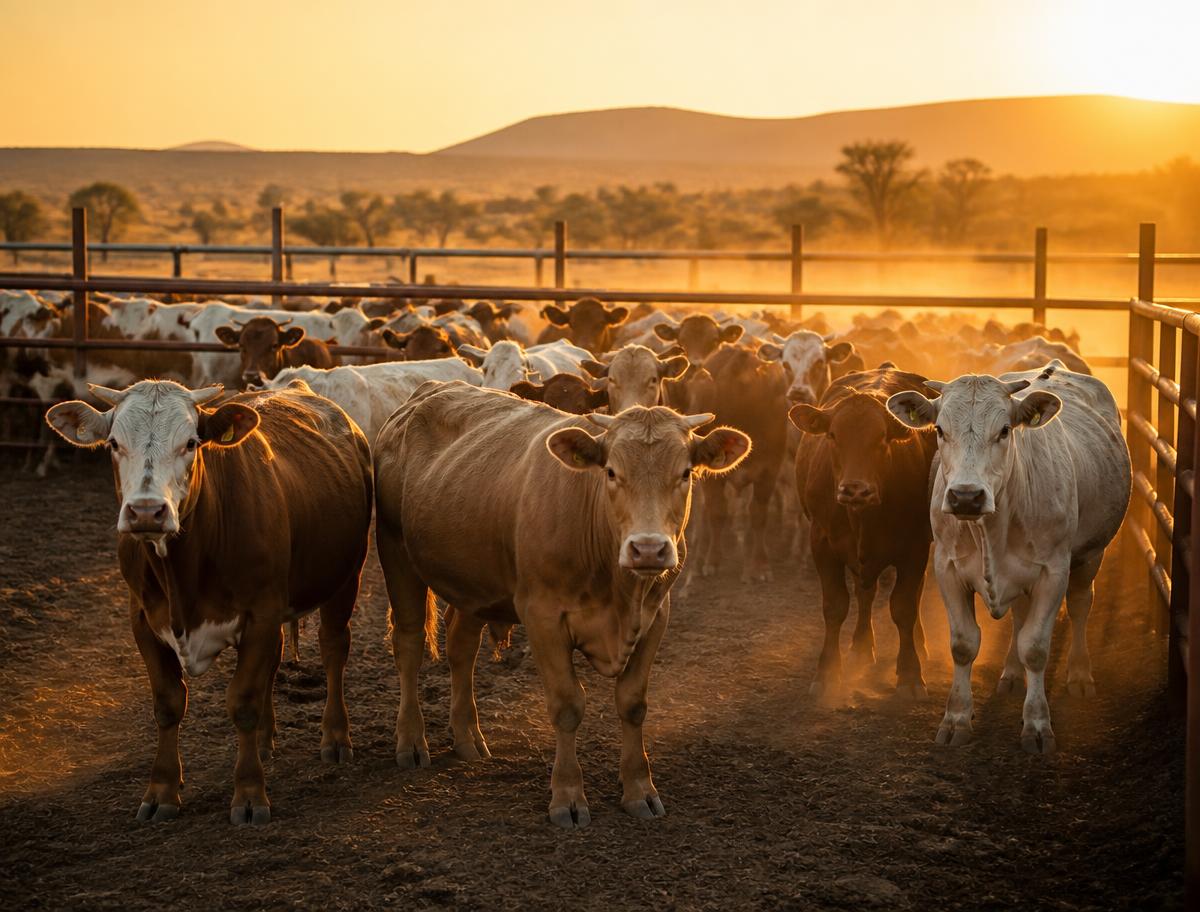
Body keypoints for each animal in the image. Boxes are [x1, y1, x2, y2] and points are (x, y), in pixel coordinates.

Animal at [45, 380, 374, 823]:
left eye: (191, 443)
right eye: (114, 443)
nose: (146, 511)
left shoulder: (261, 612)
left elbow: (243, 701)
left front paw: (250, 794)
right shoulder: (142, 619)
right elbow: (168, 704)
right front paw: (162, 790)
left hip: (345, 575)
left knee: (334, 648)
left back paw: (336, 736)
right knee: (275, 661)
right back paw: (266, 739)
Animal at [373, 381, 749, 827]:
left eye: (686, 473)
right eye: (611, 472)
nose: (648, 549)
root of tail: (426, 393)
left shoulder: (657, 615)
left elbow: (633, 704)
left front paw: (639, 789)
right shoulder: (542, 616)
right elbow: (567, 705)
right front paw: (568, 796)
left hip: (474, 577)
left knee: (462, 648)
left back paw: (468, 738)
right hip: (395, 549)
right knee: (409, 643)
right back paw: (412, 742)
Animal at [790, 368, 938, 700]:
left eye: (882, 437)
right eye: (833, 435)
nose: (855, 489)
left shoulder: (916, 545)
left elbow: (904, 607)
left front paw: (910, 674)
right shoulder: (821, 543)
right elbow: (835, 606)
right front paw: (827, 673)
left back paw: (921, 646)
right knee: (864, 592)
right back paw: (860, 647)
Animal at [887, 362, 1131, 754]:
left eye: (1004, 430)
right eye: (940, 429)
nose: (965, 496)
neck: (991, 528)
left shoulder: (1053, 573)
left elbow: (1036, 647)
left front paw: (1037, 725)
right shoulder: (947, 568)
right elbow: (963, 644)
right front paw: (956, 719)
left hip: (1091, 556)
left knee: (1080, 606)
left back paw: (1079, 675)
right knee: (1019, 616)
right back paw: (1013, 675)